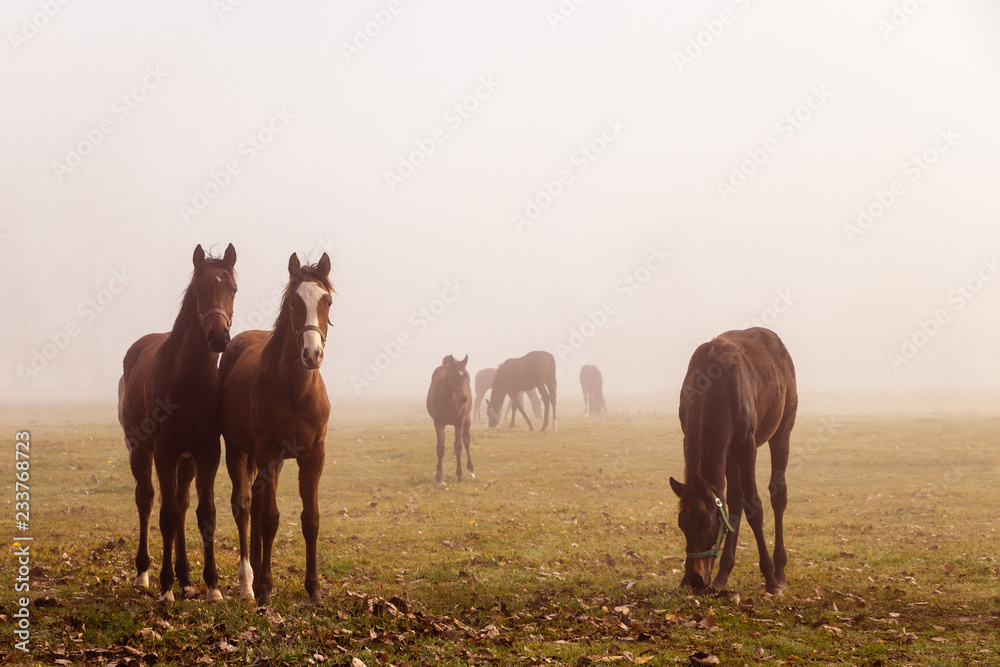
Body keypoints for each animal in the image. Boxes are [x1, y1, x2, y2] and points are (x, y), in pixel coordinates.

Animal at [118, 243, 237, 603]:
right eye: (199, 290)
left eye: (233, 289)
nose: (219, 337)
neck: (189, 380)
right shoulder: (165, 451)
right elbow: (166, 515)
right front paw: (165, 586)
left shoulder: (207, 452)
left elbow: (205, 514)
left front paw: (212, 586)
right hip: (140, 451)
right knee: (147, 499)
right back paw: (144, 573)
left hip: (186, 461)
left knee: (182, 505)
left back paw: (185, 578)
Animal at [221, 252, 333, 604]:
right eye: (293, 302)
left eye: (326, 301)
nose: (312, 354)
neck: (295, 391)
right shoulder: (268, 454)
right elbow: (270, 519)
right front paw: (266, 590)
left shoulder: (313, 456)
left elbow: (311, 519)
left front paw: (314, 590)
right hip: (238, 451)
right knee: (246, 506)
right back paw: (250, 582)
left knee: (256, 505)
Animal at [426, 355, 473, 483]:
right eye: (453, 375)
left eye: (466, 375)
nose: (464, 398)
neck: (450, 400)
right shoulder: (438, 423)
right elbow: (440, 448)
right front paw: (439, 477)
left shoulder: (459, 422)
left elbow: (458, 446)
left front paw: (460, 476)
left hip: (467, 420)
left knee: (466, 441)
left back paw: (471, 471)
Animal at [668, 327, 797, 595]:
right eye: (682, 525)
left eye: (708, 524)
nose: (697, 579)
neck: (714, 385)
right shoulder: (711, 445)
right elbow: (732, 503)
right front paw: (684, 580)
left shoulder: (746, 447)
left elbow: (755, 507)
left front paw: (770, 578)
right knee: (735, 500)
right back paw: (723, 575)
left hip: (782, 432)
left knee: (777, 495)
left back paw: (779, 570)